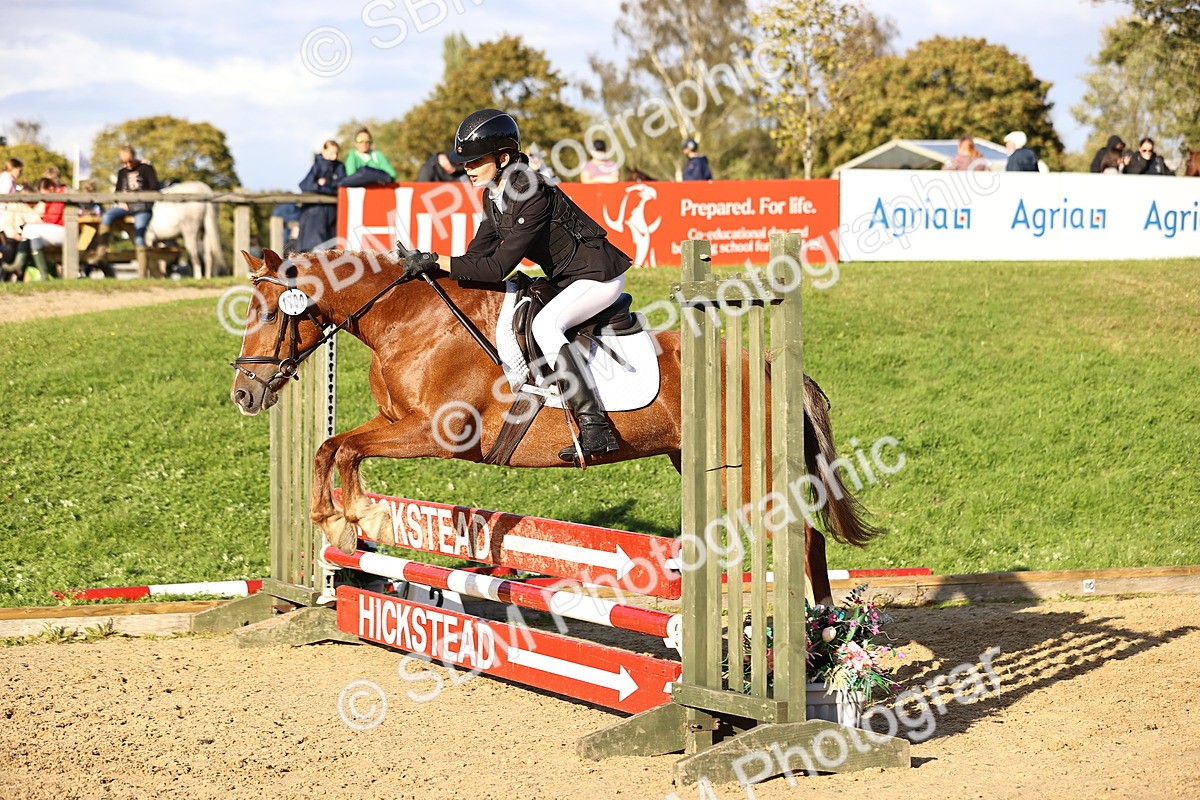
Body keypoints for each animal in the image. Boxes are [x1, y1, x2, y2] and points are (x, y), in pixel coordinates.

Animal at [229, 248, 884, 603]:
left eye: (270, 313)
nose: (243, 394)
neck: (408, 320)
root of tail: (770, 362)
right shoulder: (394, 421)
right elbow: (333, 445)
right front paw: (349, 518)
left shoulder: (436, 432)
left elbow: (339, 449)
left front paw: (350, 518)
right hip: (711, 465)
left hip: (755, 470)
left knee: (806, 538)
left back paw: (823, 636)